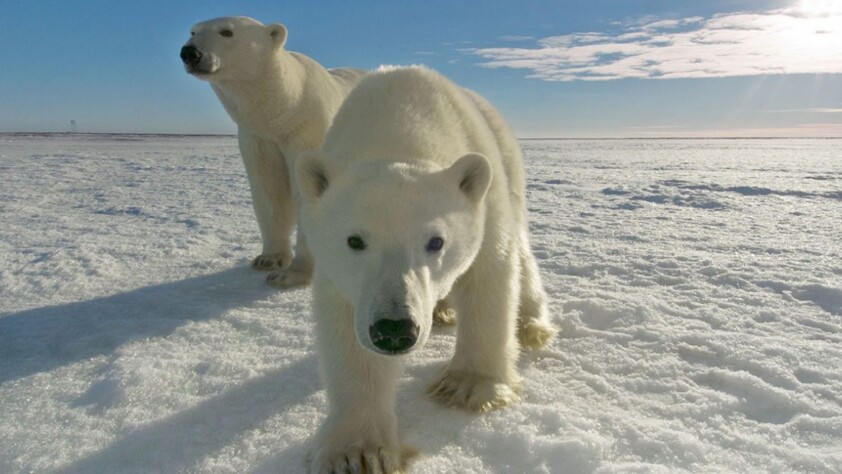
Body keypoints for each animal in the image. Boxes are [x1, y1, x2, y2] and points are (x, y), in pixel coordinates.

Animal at [181, 16, 365, 288]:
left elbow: (308, 192)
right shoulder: (259, 138)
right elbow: (270, 190)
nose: (190, 52)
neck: (288, 106)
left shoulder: (308, 131)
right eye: (193, 32)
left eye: (227, 32)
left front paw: (294, 274)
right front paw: (269, 260)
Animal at [295, 66, 557, 473]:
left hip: (508, 163)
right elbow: (346, 327)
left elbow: (489, 274)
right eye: (354, 240)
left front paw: (469, 385)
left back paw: (530, 324)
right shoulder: (342, 273)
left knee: (520, 247)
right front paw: (356, 452)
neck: (400, 125)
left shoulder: (484, 200)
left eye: (436, 241)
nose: (394, 329)